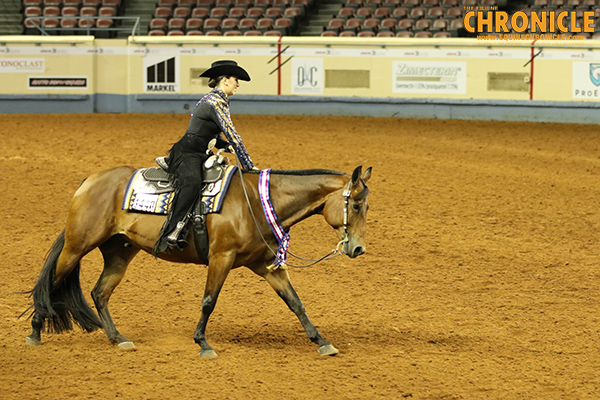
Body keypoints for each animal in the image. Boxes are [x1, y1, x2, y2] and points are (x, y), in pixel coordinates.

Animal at [24, 163, 370, 360]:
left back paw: (118, 338)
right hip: (78, 245)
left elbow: (296, 302)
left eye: (366, 206)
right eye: (354, 204)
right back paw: (35, 333)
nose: (358, 248)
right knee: (52, 283)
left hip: (119, 252)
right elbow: (208, 301)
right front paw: (203, 343)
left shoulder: (266, 265)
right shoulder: (221, 258)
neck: (257, 202)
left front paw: (322, 342)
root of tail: (90, 180)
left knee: (100, 293)